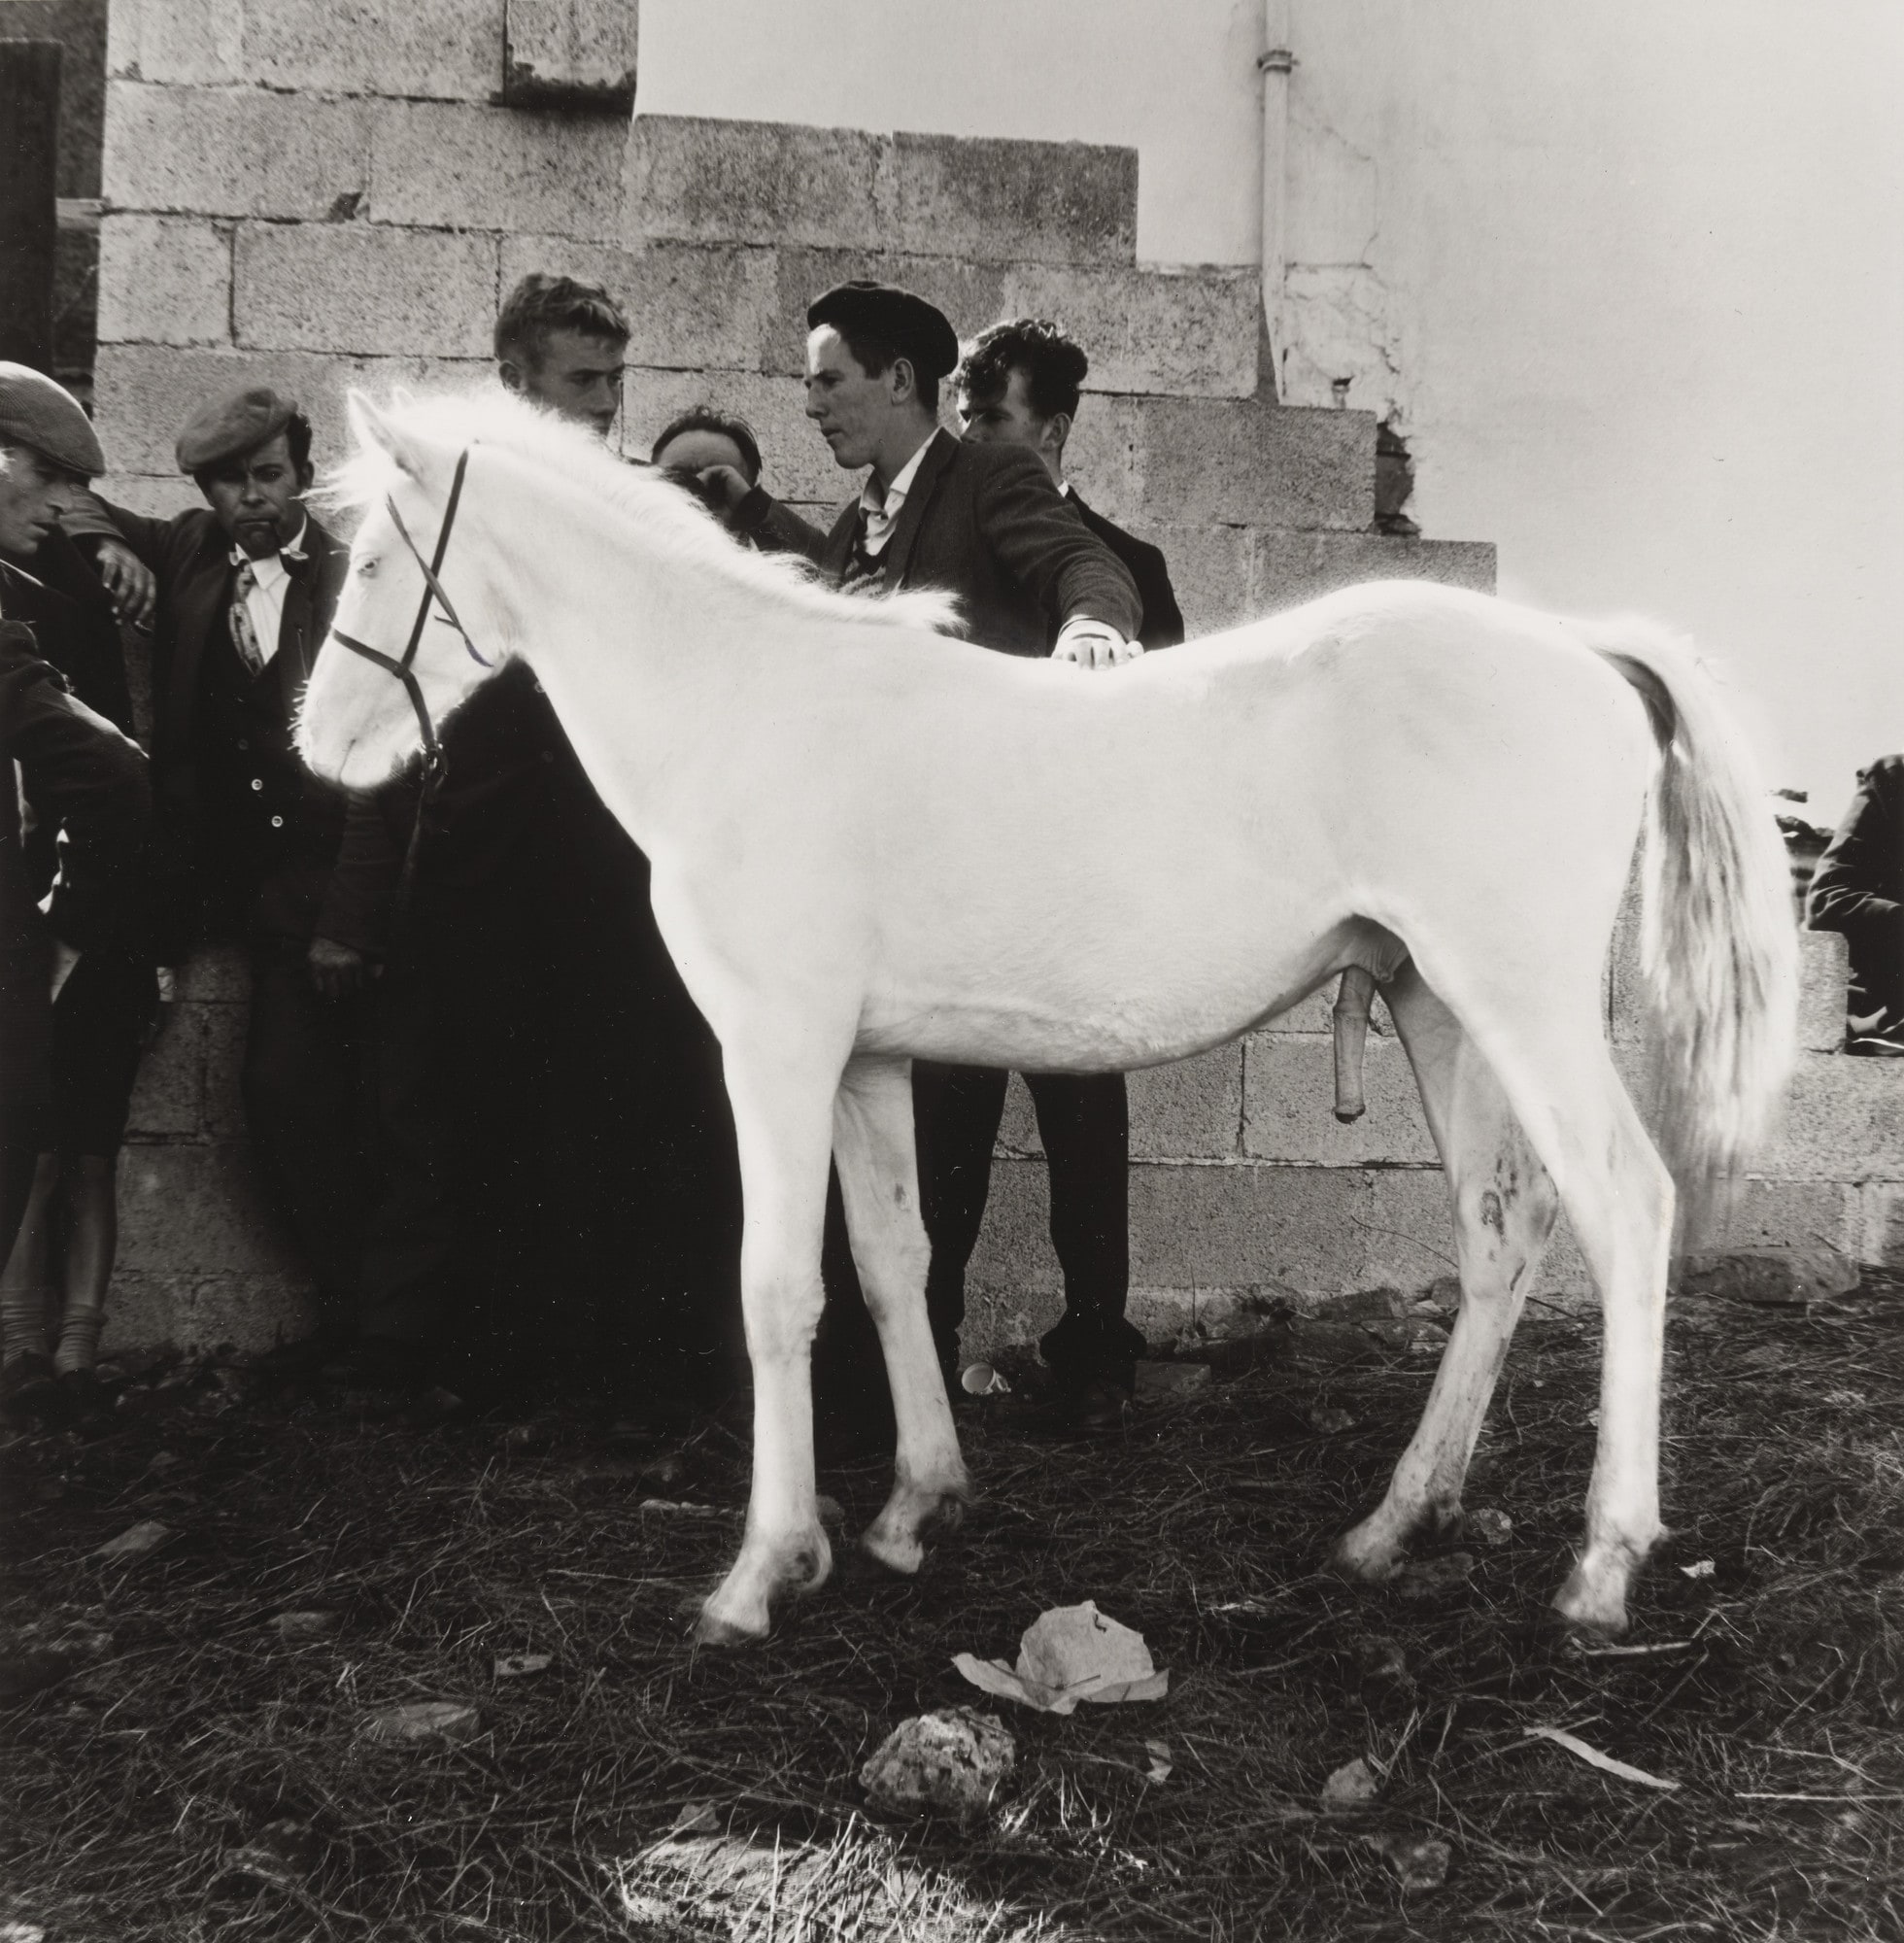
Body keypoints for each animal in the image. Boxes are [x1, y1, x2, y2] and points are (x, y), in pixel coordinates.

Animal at [297, 389, 1797, 1646]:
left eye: (369, 563)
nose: (319, 746)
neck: (751, 712)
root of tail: (1583, 651)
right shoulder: (865, 1062)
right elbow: (891, 1265)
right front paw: (914, 1509)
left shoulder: (777, 1049)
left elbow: (777, 1291)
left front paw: (758, 1575)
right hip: (1439, 1004)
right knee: (1503, 1233)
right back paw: (1388, 1526)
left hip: (1520, 1002)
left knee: (1626, 1208)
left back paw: (1601, 1566)